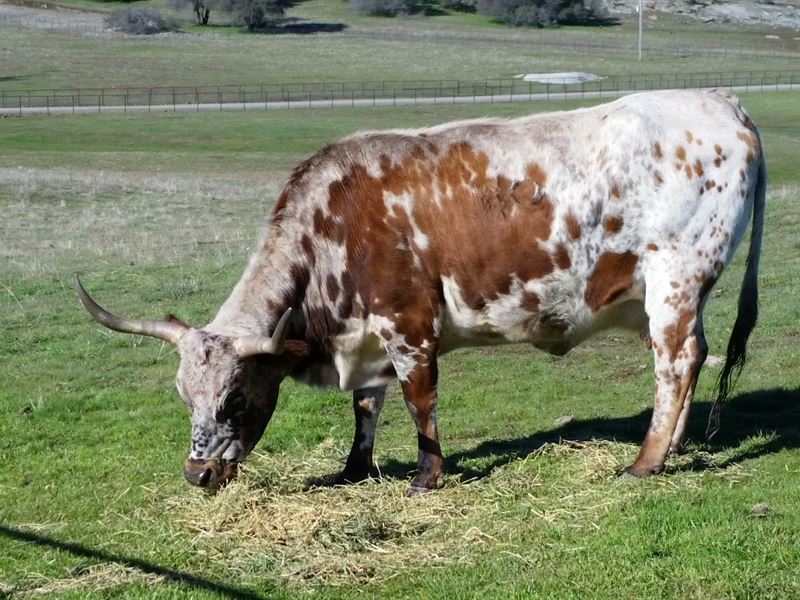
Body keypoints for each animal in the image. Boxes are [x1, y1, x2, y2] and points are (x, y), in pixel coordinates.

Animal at [78, 89, 764, 492]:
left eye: (237, 398)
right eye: (184, 396)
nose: (197, 473)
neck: (333, 225)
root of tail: (721, 102)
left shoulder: (407, 323)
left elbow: (418, 401)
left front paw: (428, 475)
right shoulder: (367, 336)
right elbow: (367, 405)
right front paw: (355, 468)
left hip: (674, 282)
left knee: (675, 363)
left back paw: (646, 459)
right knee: (694, 359)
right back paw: (673, 447)